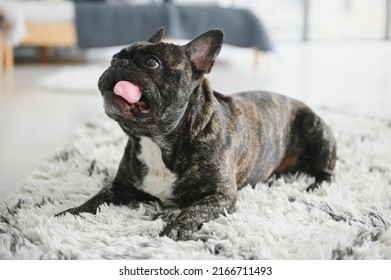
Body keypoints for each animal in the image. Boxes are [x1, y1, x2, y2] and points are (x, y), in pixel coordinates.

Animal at [56, 26, 336, 241]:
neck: (156, 142)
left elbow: (191, 211)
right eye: (114, 58)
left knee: (327, 173)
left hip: (317, 131)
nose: (118, 64)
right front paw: (69, 212)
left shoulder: (219, 196)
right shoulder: (120, 187)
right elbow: (95, 199)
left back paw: (312, 186)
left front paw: (175, 228)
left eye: (151, 62)